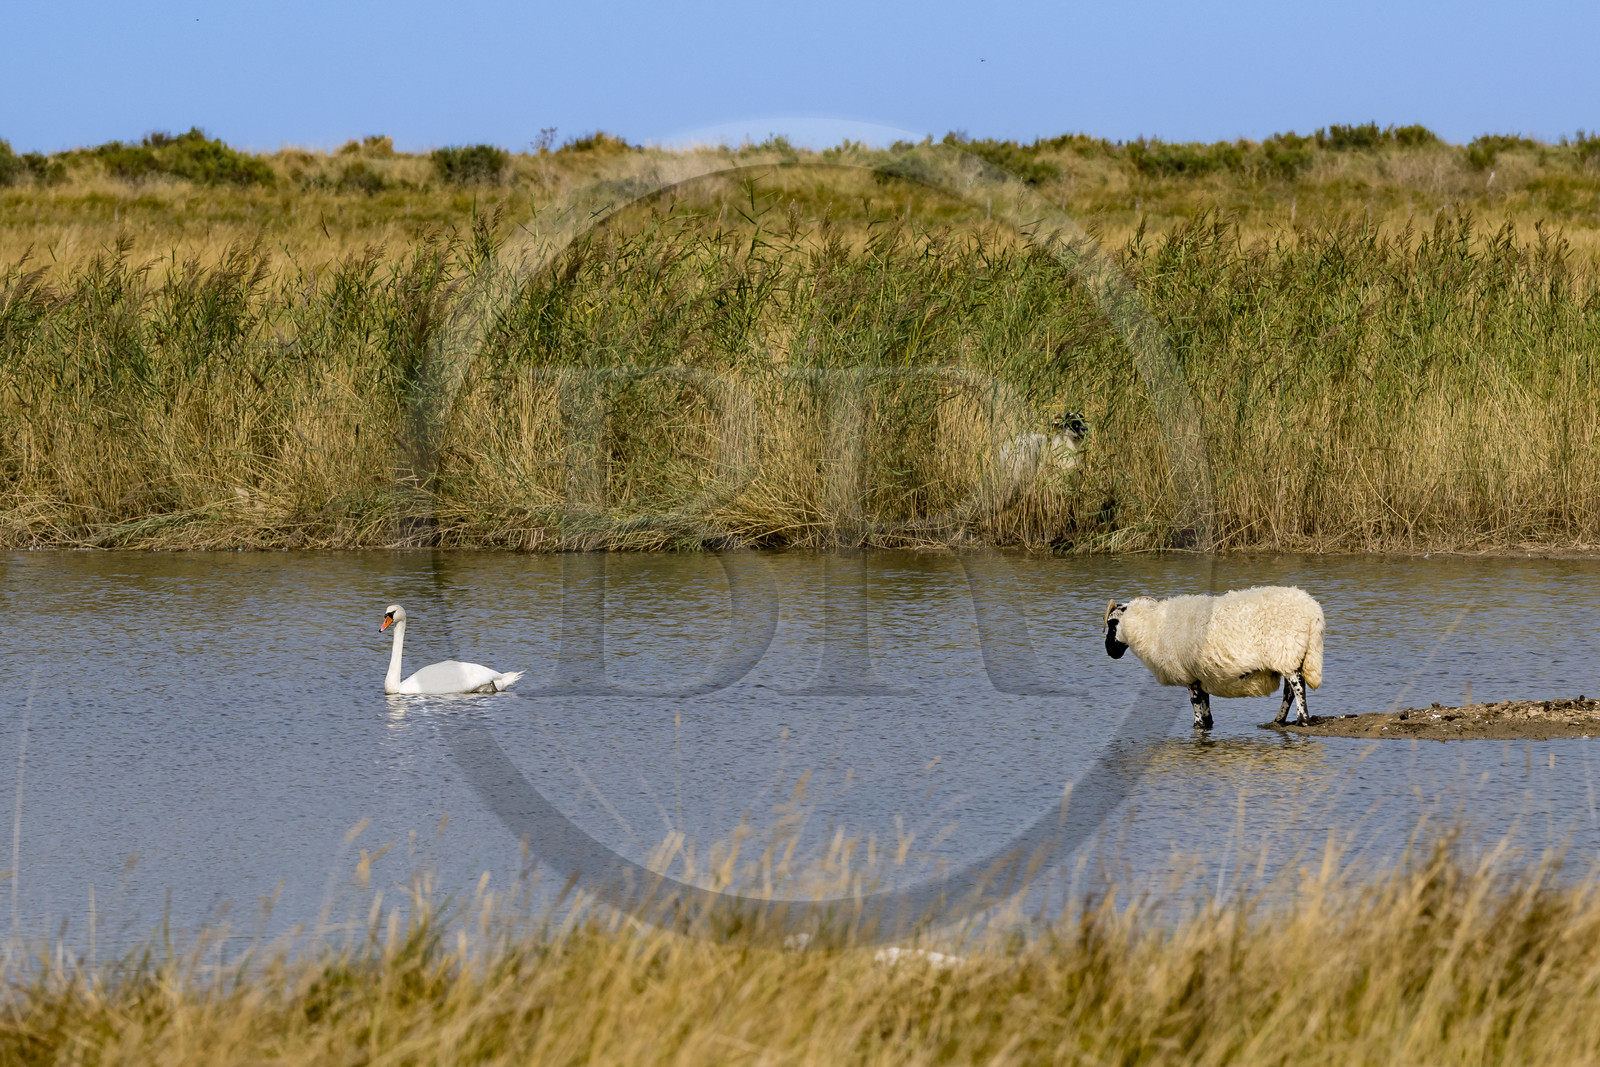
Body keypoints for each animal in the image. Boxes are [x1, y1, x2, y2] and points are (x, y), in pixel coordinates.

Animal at [1102, 586, 1324, 729]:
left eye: (1112, 624)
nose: (1109, 651)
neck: (1151, 625)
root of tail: (1313, 609)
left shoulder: (1188, 674)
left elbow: (1194, 701)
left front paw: (1198, 724)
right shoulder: (1200, 672)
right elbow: (1204, 699)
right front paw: (1208, 722)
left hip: (1286, 651)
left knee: (1297, 685)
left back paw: (1302, 719)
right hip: (1292, 655)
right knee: (1289, 690)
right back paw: (1278, 720)